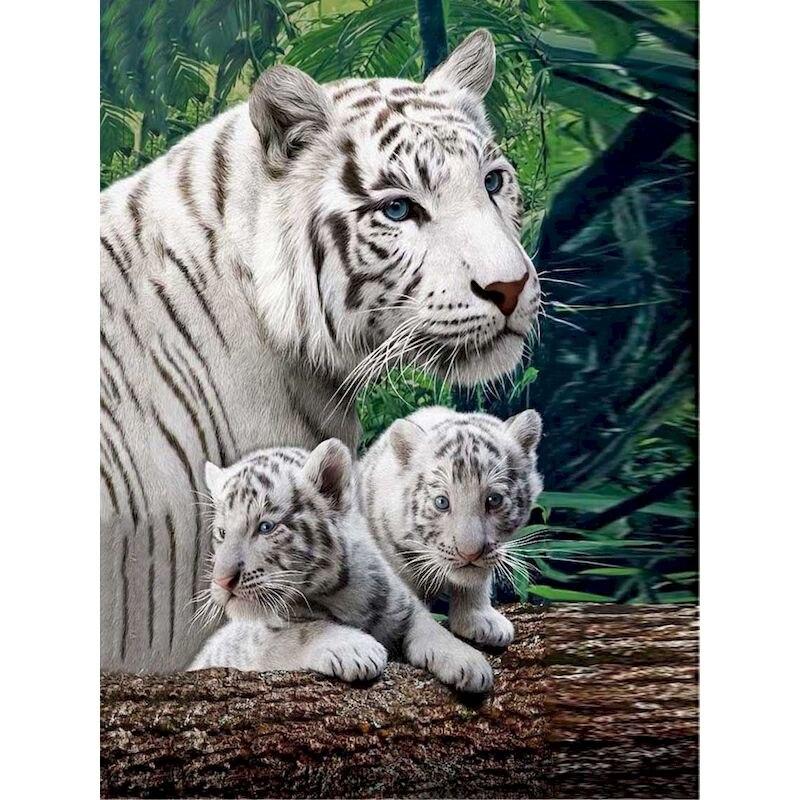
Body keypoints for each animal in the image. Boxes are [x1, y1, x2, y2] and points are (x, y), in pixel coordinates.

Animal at [189, 439, 493, 693]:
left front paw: (470, 662)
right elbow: (300, 632)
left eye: (266, 527)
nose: (222, 581)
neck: (340, 593)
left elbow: (431, 627)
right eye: (222, 533)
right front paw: (357, 649)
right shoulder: (251, 644)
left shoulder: (404, 605)